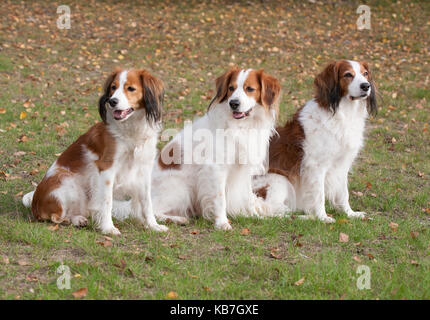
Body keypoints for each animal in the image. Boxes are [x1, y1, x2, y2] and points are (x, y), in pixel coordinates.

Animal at [21, 67, 168, 234]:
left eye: (130, 88)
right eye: (113, 87)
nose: (112, 101)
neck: (131, 130)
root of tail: (35, 206)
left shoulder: (143, 169)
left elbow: (147, 202)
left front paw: (153, 225)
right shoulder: (107, 168)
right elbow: (107, 201)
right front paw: (108, 228)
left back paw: (79, 219)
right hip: (66, 182)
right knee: (56, 217)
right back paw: (74, 220)